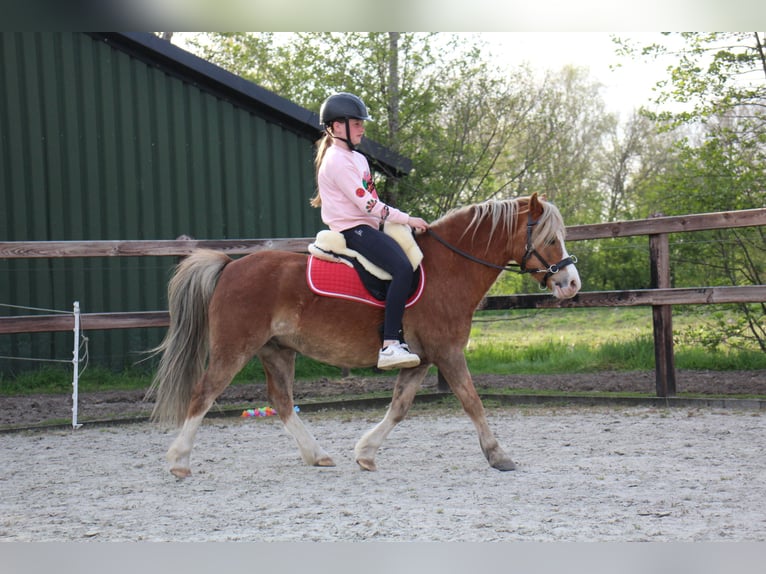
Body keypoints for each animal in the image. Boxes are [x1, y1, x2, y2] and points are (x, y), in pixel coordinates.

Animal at [147, 192, 581, 478]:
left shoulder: (421, 360)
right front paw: (498, 455)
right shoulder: (448, 353)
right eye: (549, 238)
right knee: (204, 394)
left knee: (282, 402)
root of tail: (230, 266)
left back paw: (317, 454)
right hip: (234, 348)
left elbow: (400, 408)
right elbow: (472, 402)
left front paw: (366, 453)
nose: (571, 283)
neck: (448, 268)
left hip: (276, 351)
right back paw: (179, 461)